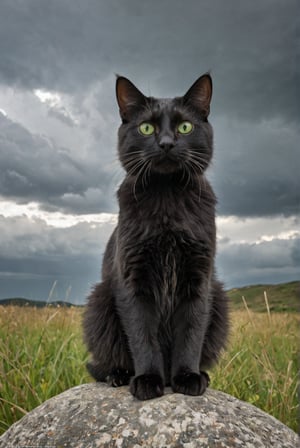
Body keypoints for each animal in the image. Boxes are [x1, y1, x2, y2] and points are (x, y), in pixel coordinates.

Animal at [83, 73, 229, 400]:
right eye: (146, 128)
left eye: (184, 127)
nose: (165, 143)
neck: (167, 197)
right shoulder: (133, 281)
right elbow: (142, 338)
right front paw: (148, 380)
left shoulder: (199, 281)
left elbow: (190, 335)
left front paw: (187, 377)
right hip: (100, 301)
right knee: (108, 362)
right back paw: (119, 375)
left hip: (220, 301)